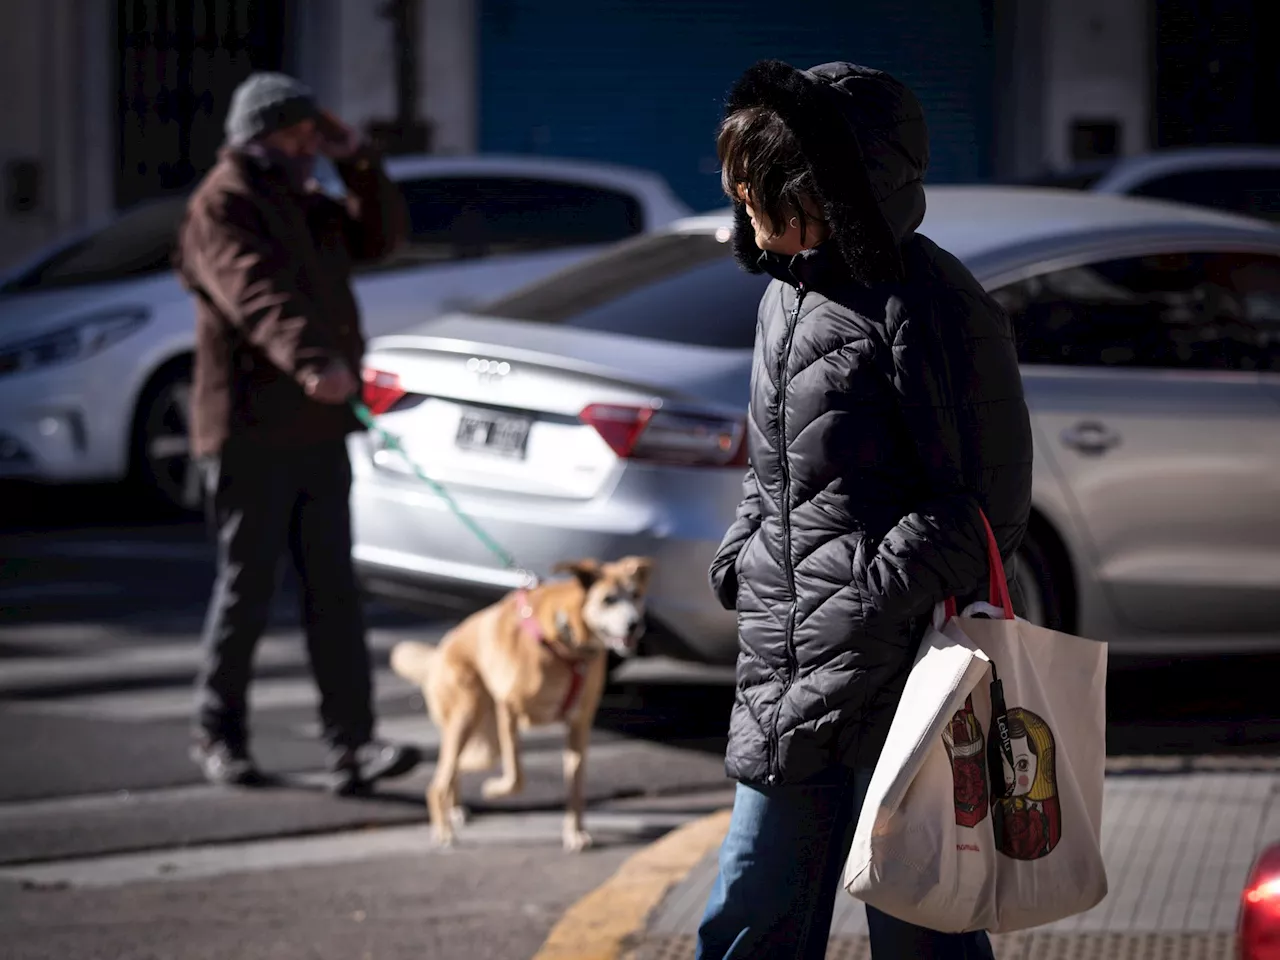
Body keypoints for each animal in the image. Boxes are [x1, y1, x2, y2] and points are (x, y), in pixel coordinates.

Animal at [386, 560, 650, 855]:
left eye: (636, 595)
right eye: (608, 599)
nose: (635, 625)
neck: (565, 640)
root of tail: (438, 654)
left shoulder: (578, 726)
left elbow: (575, 787)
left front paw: (574, 833)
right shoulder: (509, 709)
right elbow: (516, 778)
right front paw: (492, 790)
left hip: (486, 746)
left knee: (453, 768)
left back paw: (454, 809)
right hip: (468, 718)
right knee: (439, 780)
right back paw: (443, 829)